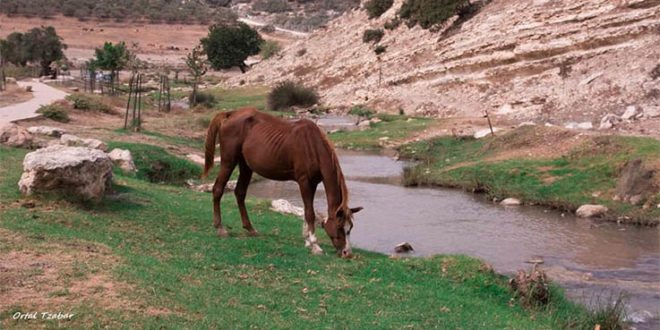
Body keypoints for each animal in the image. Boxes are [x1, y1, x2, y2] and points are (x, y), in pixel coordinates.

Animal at [204, 108, 364, 258]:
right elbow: (310, 213)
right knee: (218, 189)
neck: (313, 145)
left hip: (246, 166)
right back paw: (220, 228)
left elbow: (306, 210)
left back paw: (251, 229)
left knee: (240, 193)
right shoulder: (304, 181)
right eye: (339, 226)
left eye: (350, 228)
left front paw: (307, 240)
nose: (347, 253)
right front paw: (315, 245)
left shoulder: (312, 183)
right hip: (228, 162)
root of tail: (231, 114)